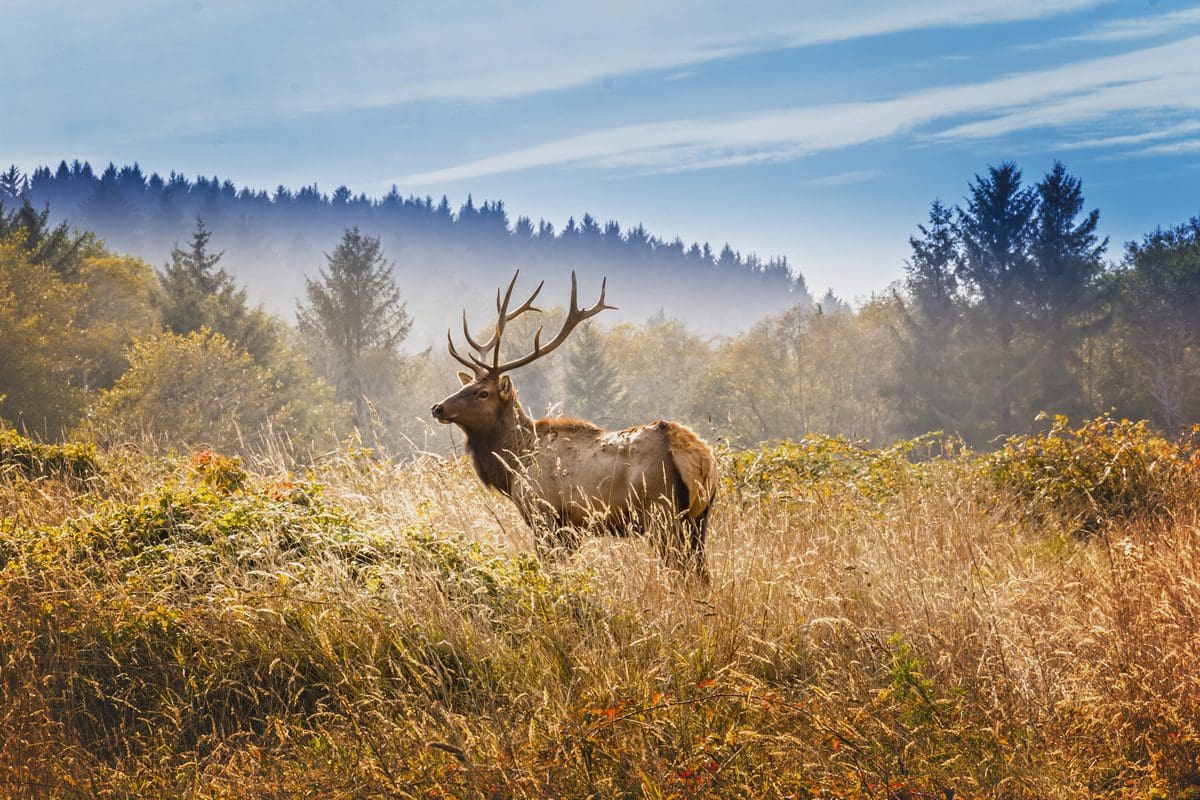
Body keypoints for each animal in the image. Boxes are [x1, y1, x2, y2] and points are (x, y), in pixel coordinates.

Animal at [431, 271, 718, 584]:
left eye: (483, 393)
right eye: (466, 385)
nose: (438, 407)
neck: (515, 463)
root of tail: (700, 457)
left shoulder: (543, 513)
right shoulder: (573, 527)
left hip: (661, 513)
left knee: (679, 570)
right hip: (699, 519)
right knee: (702, 574)